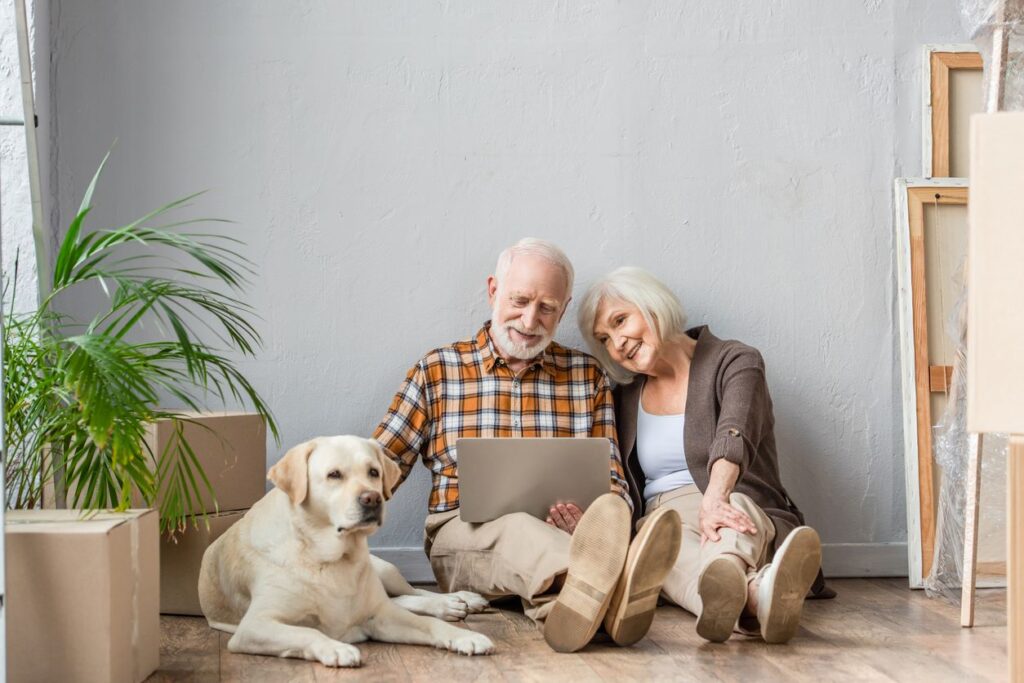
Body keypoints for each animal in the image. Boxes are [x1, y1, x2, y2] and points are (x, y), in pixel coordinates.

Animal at [198, 438, 495, 667]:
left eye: (374, 472)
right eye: (334, 475)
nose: (373, 498)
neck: (328, 557)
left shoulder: (383, 616)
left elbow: (430, 625)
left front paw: (466, 636)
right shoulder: (254, 626)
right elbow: (308, 633)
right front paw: (336, 648)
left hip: (385, 570)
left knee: (412, 593)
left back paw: (457, 600)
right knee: (400, 598)